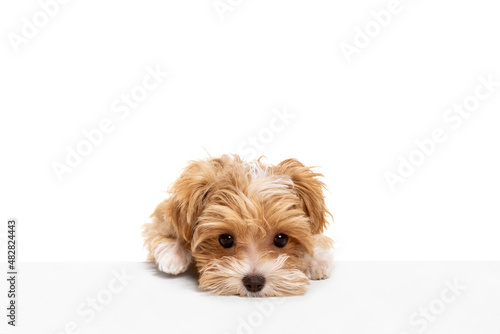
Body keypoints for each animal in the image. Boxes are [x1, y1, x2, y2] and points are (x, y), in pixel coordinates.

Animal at [143, 155, 334, 296]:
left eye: (281, 239)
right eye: (225, 239)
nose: (254, 282)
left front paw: (316, 259)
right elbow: (163, 228)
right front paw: (173, 252)